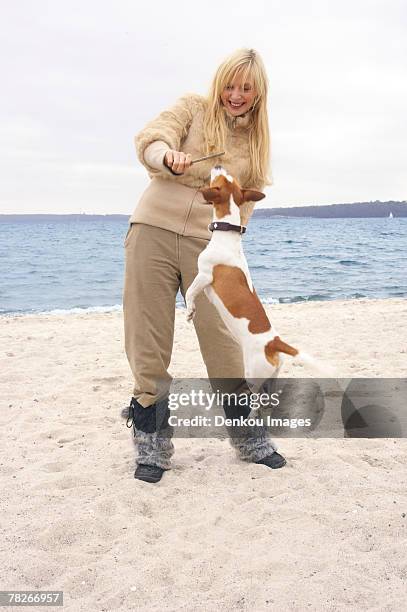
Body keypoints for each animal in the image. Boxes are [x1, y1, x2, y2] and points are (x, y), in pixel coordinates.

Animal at [185, 165, 306, 390]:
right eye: (229, 177)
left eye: (220, 178)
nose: (218, 165)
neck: (227, 235)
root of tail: (273, 342)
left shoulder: (204, 275)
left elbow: (189, 292)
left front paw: (190, 312)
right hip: (272, 377)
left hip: (253, 375)